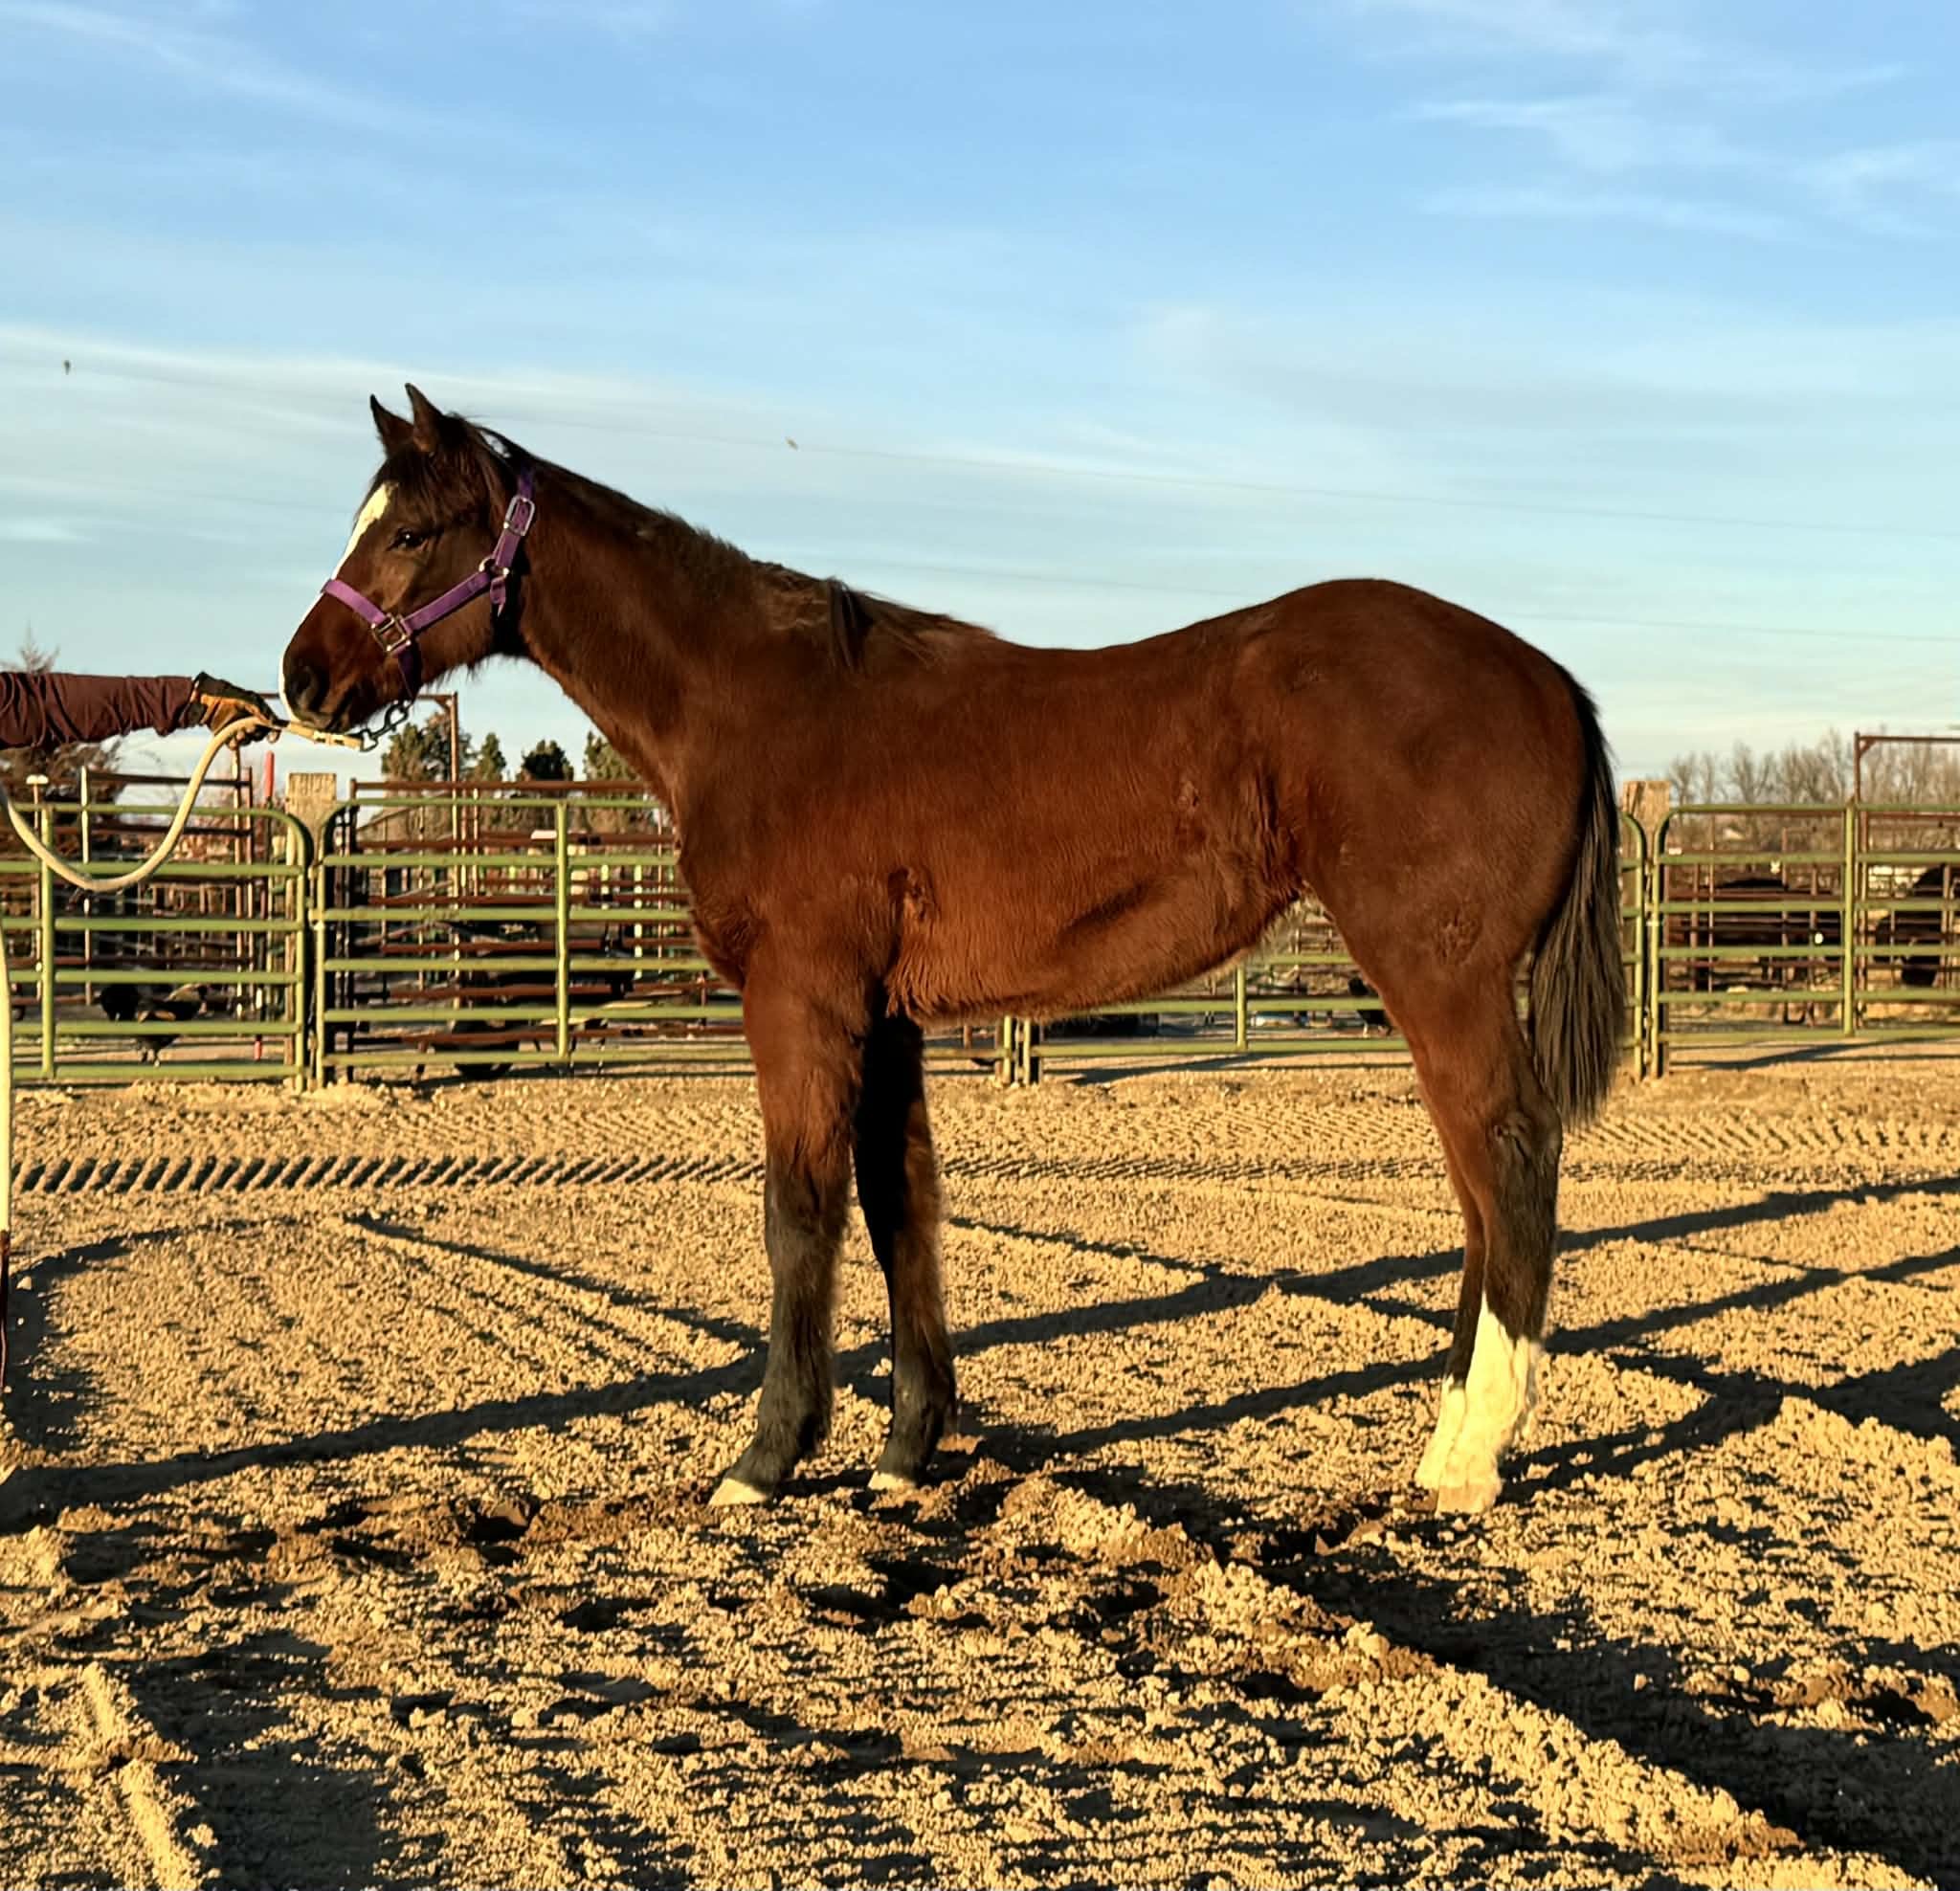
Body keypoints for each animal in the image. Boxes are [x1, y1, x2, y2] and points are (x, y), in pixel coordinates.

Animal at [280, 386, 1626, 1515]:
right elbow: (900, 1206)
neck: (759, 707)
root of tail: (1546, 678)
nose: (304, 677)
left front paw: (765, 1460)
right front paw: (904, 1448)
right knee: (1475, 1187)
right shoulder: (887, 1017)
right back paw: (1446, 1436)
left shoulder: (804, 1000)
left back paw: (1470, 1457)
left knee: (1506, 1160)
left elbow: (800, 1212)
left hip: (1438, 976)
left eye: (411, 534)